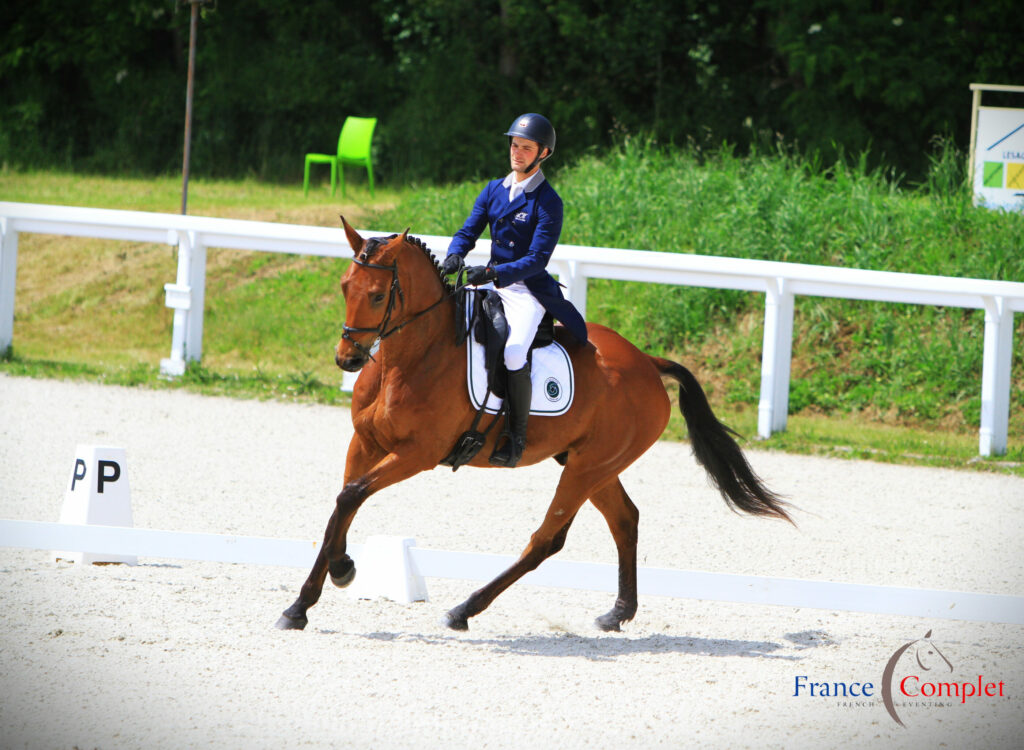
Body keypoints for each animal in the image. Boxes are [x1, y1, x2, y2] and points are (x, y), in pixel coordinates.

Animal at [276, 218, 794, 631]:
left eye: (378, 294)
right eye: (344, 286)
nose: (347, 359)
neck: (411, 359)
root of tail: (648, 362)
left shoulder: (416, 455)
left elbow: (351, 496)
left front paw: (323, 586)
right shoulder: (364, 442)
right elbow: (342, 504)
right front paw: (323, 584)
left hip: (586, 468)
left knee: (547, 539)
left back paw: (465, 609)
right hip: (594, 465)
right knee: (624, 520)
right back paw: (618, 613)